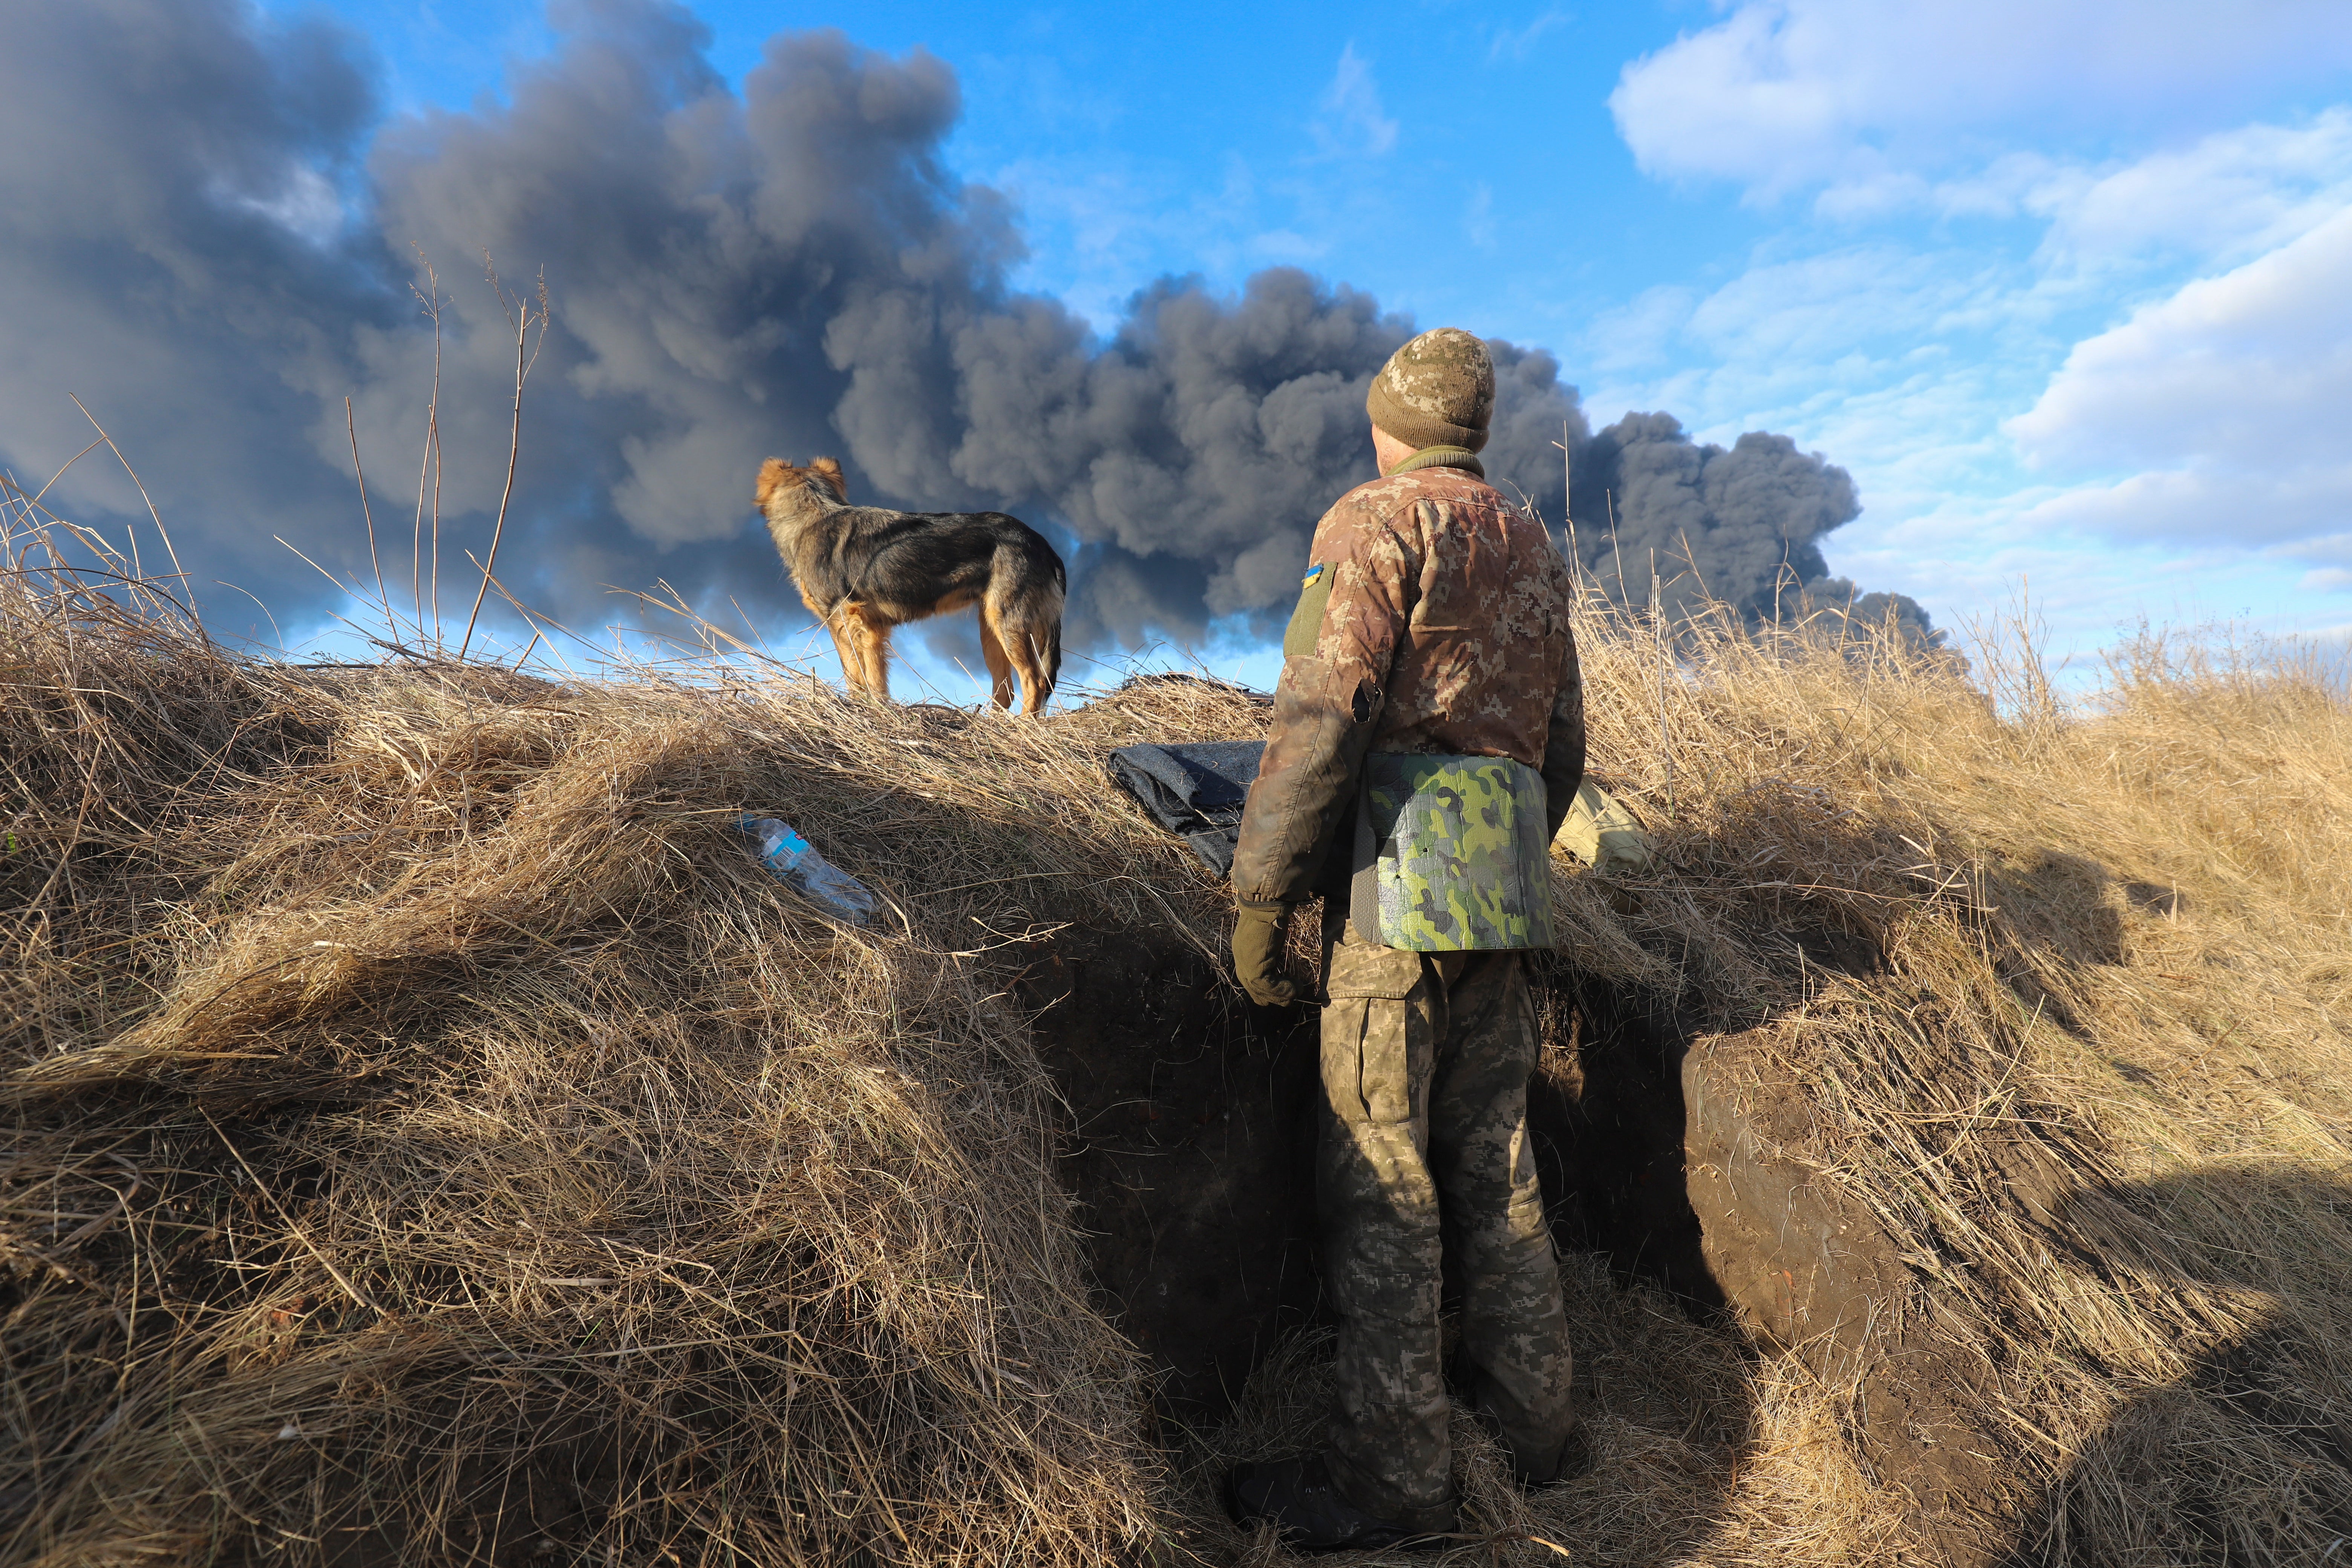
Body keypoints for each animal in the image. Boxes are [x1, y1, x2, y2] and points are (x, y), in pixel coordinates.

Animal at [752, 461, 1067, 719]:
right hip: (991, 631)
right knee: (1006, 692)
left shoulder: (842, 621)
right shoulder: (871, 629)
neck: (814, 512)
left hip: (1009, 625)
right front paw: (878, 711)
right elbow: (876, 680)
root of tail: (1043, 545)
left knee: (1035, 682)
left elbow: (855, 677)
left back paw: (1024, 729)